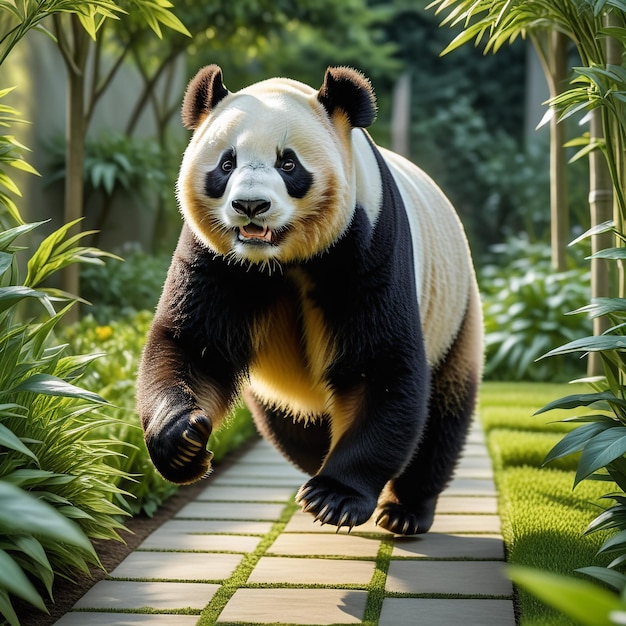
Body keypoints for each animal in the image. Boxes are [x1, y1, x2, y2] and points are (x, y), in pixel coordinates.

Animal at [136, 63, 482, 532]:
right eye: (227, 163)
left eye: (288, 163)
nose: (250, 206)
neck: (279, 260)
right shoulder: (215, 257)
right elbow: (193, 345)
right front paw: (183, 442)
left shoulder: (368, 244)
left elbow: (381, 364)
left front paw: (334, 497)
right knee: (295, 426)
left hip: (456, 312)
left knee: (443, 411)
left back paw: (405, 510)